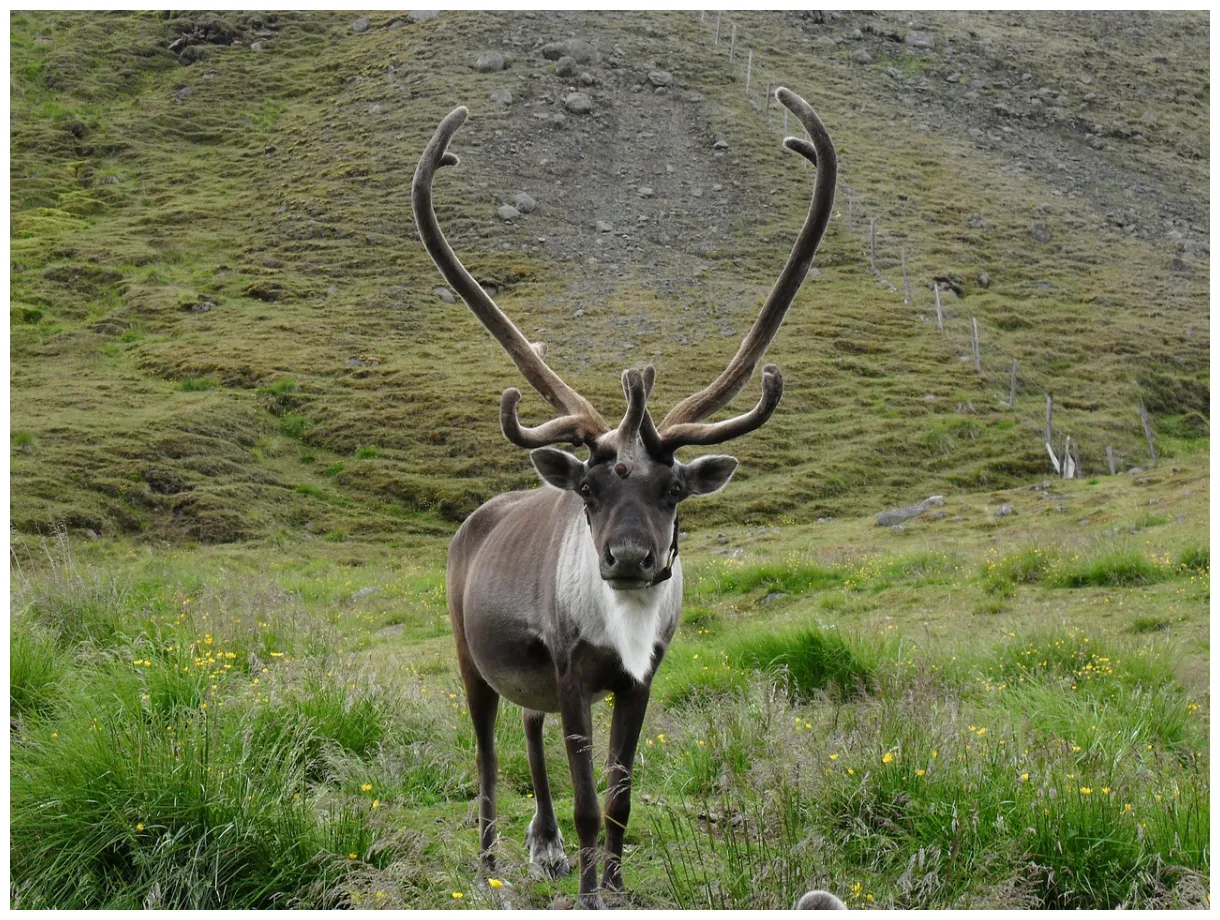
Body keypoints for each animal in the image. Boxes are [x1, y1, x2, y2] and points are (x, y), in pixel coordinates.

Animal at [412, 86, 836, 908]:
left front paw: (611, 881)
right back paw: (489, 865)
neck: (626, 628)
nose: (632, 559)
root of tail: (476, 519)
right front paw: (588, 892)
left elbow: (619, 798)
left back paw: (540, 844)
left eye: (674, 489)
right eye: (588, 487)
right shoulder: (573, 670)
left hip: (531, 678)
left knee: (529, 729)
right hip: (471, 656)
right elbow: (585, 800)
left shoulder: (641, 679)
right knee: (485, 757)